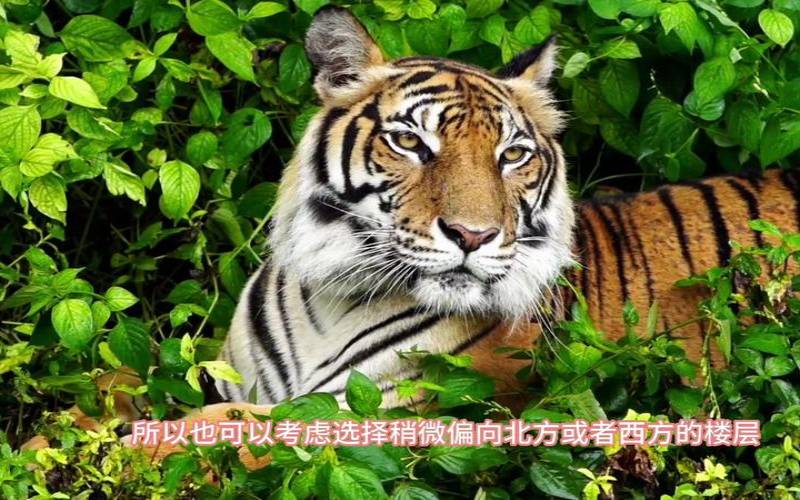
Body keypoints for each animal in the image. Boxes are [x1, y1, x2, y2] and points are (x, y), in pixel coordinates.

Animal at [27, 6, 800, 468]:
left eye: (512, 156)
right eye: (411, 143)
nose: (472, 234)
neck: (334, 294)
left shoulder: (407, 411)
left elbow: (227, 424)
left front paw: (115, 454)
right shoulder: (223, 367)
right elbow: (121, 379)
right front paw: (47, 437)